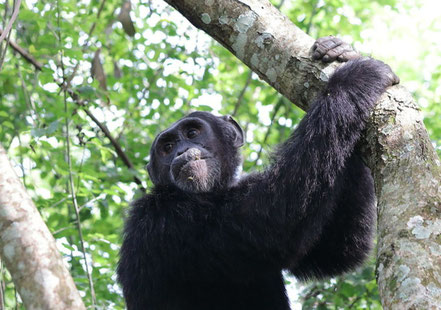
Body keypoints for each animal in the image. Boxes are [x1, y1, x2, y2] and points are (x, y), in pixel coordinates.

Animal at [115, 37, 398, 310]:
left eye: (192, 132)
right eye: (167, 147)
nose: (181, 151)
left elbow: (333, 252)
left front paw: (341, 49)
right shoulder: (165, 216)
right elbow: (276, 220)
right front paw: (356, 76)